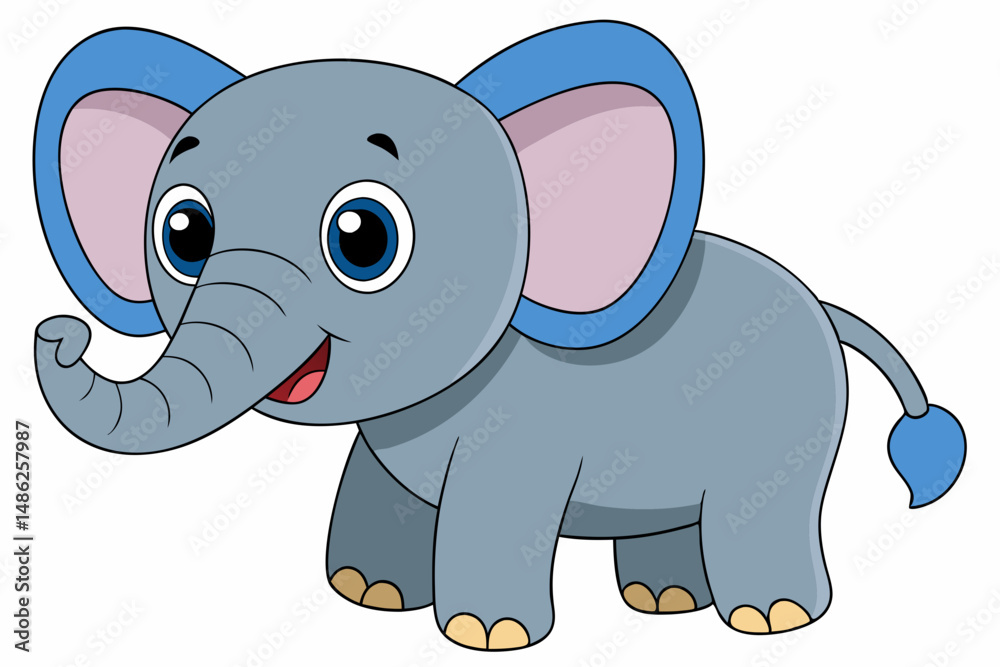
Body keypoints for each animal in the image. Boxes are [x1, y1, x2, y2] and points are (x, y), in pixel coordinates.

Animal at [33, 21, 966, 651]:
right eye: (183, 232)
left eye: (364, 238)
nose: (58, 330)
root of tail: (825, 307)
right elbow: (380, 486)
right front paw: (368, 593)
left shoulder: (522, 435)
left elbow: (494, 507)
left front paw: (489, 634)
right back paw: (665, 603)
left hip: (790, 430)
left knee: (763, 505)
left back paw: (772, 618)